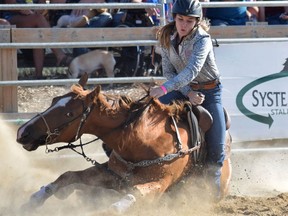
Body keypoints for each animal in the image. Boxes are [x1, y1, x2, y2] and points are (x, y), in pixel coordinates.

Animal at [16, 74, 232, 213]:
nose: (22, 132)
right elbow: (67, 176)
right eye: (54, 100)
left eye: (69, 113)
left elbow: (130, 197)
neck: (143, 142)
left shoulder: (160, 183)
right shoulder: (111, 174)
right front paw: (33, 201)